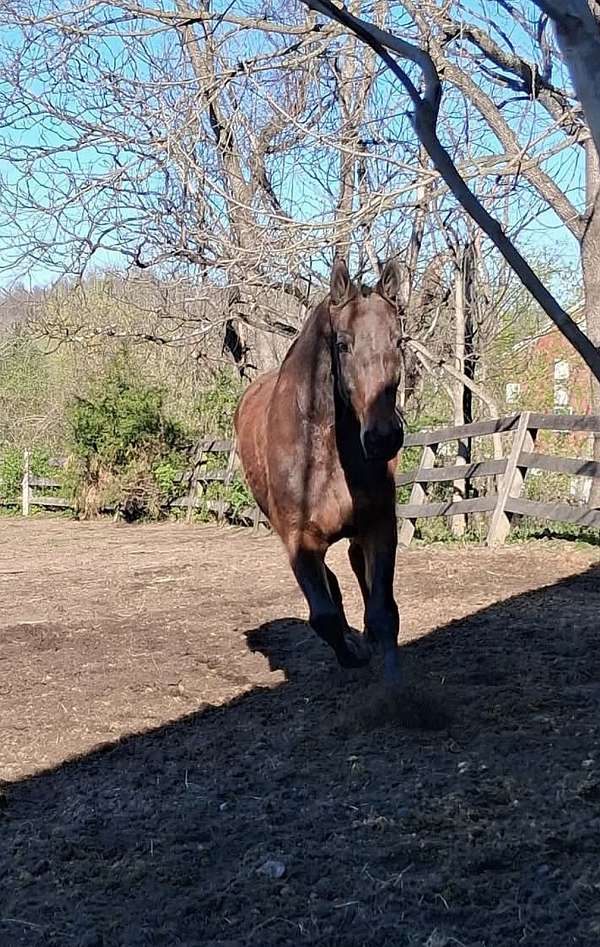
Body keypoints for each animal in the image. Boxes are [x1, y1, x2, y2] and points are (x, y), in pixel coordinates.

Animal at [234, 256, 405, 683]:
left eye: (399, 341)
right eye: (342, 344)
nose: (383, 437)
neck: (324, 455)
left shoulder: (380, 525)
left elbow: (383, 613)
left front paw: (396, 685)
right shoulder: (299, 541)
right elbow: (324, 615)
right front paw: (353, 655)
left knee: (356, 564)